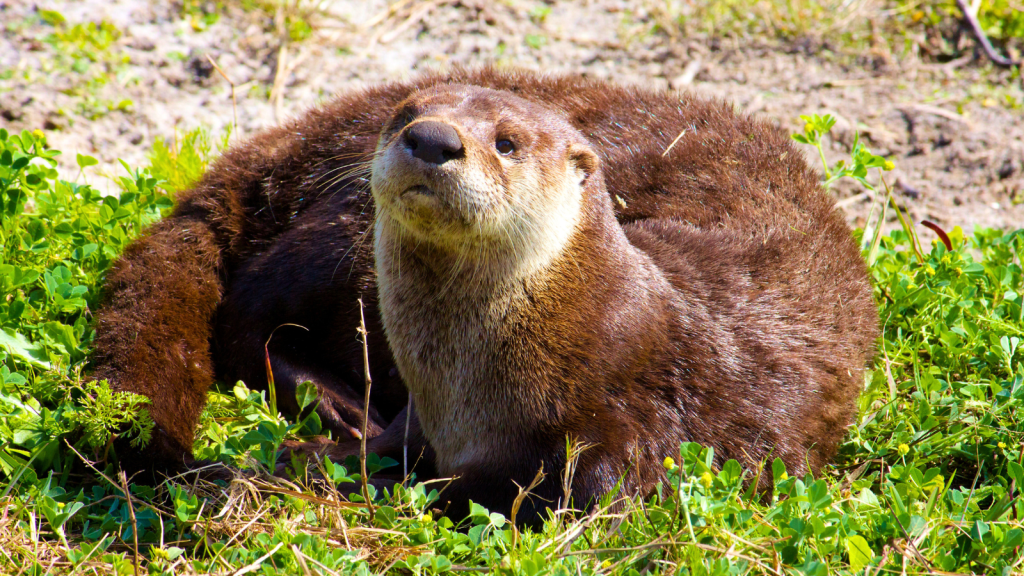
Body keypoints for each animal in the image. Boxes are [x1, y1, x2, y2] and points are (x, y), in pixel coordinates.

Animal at [92, 66, 880, 520]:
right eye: (409, 113)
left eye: (506, 141)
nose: (432, 138)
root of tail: (303, 137)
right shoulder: (428, 418)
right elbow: (391, 452)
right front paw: (310, 457)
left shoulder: (626, 442)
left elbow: (521, 500)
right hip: (340, 230)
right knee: (246, 313)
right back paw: (334, 403)